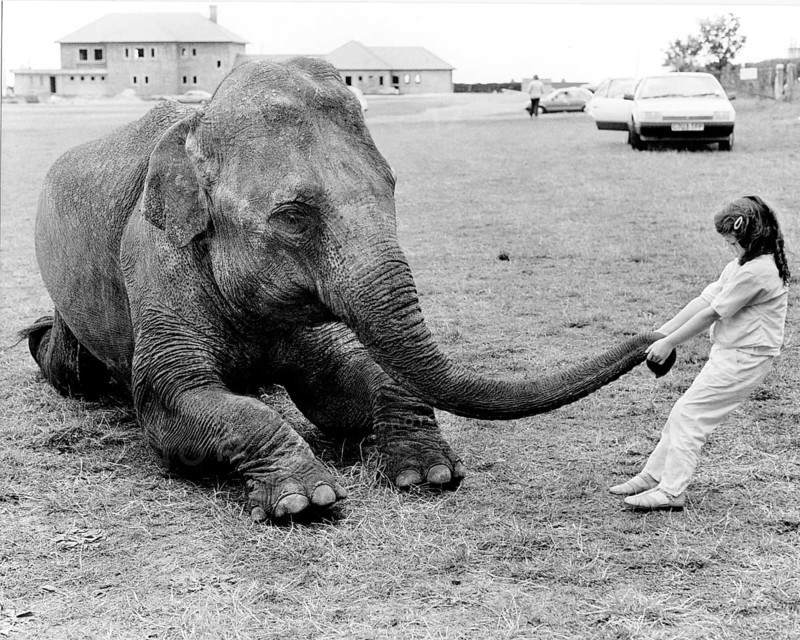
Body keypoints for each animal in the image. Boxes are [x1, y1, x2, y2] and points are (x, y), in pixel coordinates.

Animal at [25, 57, 665, 520]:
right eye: (293, 216)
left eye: (392, 186)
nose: (657, 349)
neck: (197, 123)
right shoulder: (155, 263)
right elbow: (168, 398)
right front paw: (305, 500)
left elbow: (341, 384)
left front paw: (430, 473)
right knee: (73, 371)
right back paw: (36, 336)